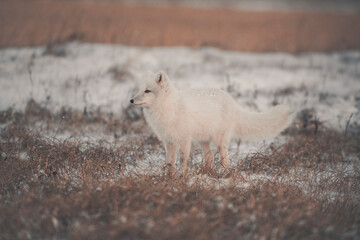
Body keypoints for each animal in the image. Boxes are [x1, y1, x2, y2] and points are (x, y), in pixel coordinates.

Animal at [130, 71, 292, 172]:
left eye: (147, 91)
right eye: (139, 90)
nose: (131, 100)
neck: (168, 108)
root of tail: (232, 101)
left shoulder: (184, 141)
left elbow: (182, 162)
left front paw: (182, 178)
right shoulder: (168, 142)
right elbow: (169, 163)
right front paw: (169, 179)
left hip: (219, 141)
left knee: (225, 160)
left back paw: (223, 175)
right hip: (204, 140)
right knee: (210, 158)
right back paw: (205, 174)